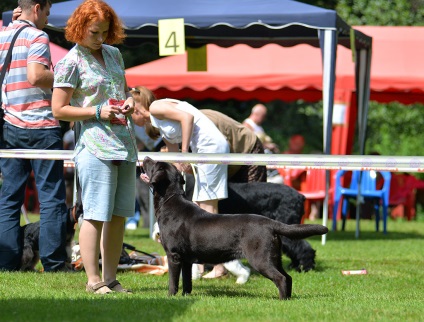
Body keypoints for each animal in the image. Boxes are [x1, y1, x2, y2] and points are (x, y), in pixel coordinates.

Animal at [142, 157, 328, 300]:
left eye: (155, 164)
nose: (145, 157)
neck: (170, 202)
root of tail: (270, 223)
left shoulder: (174, 255)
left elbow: (173, 281)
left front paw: (170, 297)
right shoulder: (187, 260)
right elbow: (187, 282)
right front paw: (185, 296)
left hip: (260, 258)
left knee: (281, 278)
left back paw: (282, 300)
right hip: (274, 256)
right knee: (288, 277)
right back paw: (288, 298)